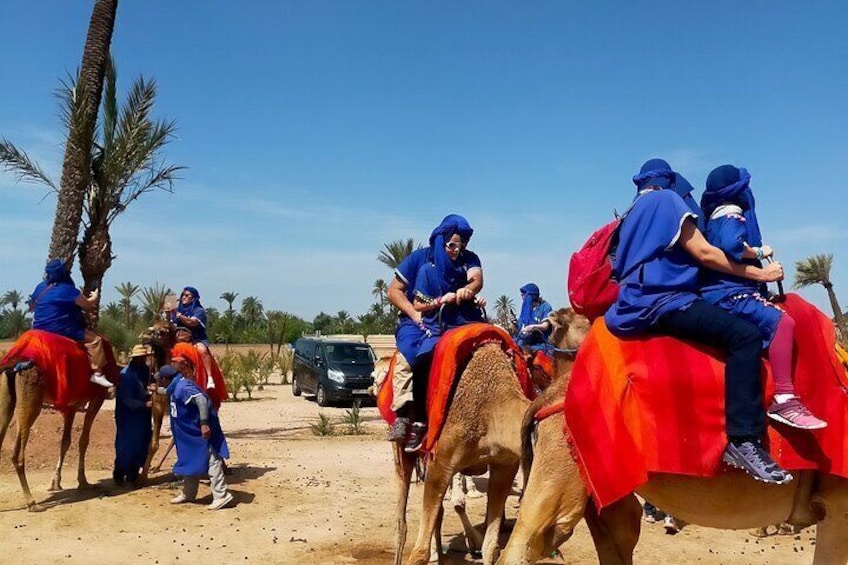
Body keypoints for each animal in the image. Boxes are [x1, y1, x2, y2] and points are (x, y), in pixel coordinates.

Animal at [394, 312, 588, 564]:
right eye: (579, 325)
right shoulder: (441, 461)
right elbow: (419, 553)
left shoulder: (504, 465)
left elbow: (491, 546)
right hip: (404, 453)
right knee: (402, 519)